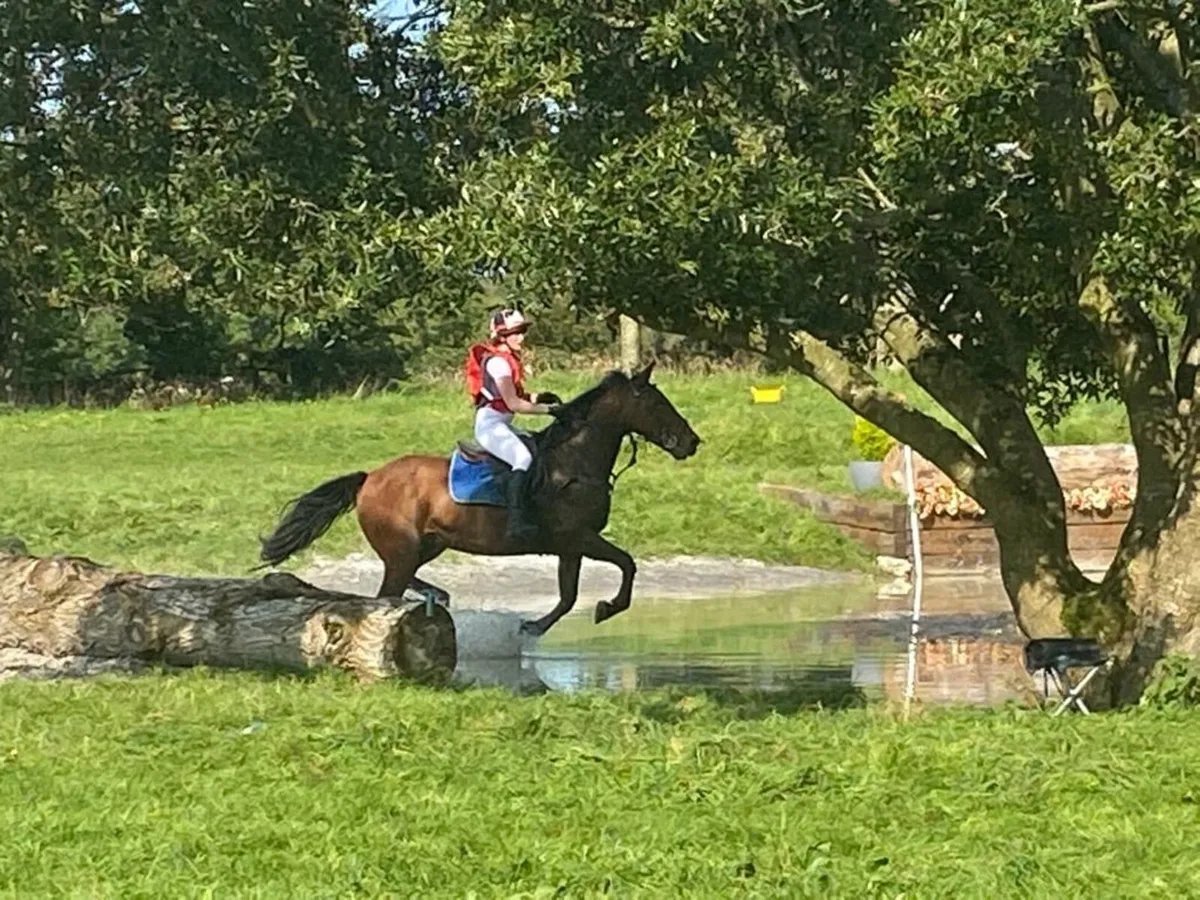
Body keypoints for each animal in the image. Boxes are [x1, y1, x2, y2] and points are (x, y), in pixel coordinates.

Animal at [257, 361, 702, 636]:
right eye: (655, 402)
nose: (691, 442)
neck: (574, 462)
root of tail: (370, 478)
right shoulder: (580, 538)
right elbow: (627, 564)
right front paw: (608, 606)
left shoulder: (570, 546)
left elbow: (568, 596)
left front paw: (533, 627)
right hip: (402, 548)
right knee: (386, 593)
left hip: (427, 545)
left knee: (399, 585)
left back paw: (438, 594)